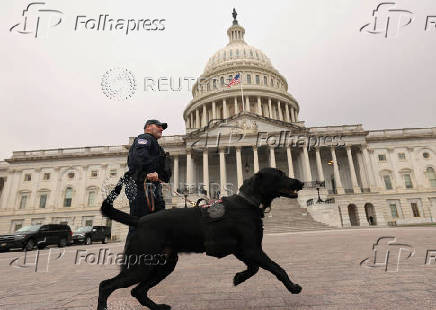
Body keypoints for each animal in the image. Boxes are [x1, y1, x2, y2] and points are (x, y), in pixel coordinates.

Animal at [98, 168, 304, 308]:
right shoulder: (252, 250)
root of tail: (139, 220)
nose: (301, 183)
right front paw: (293, 287)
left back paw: (159, 307)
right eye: (279, 174)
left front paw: (238, 278)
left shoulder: (244, 251)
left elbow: (254, 269)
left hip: (163, 266)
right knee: (106, 285)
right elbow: (277, 268)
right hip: (141, 266)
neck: (247, 202)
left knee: (137, 291)